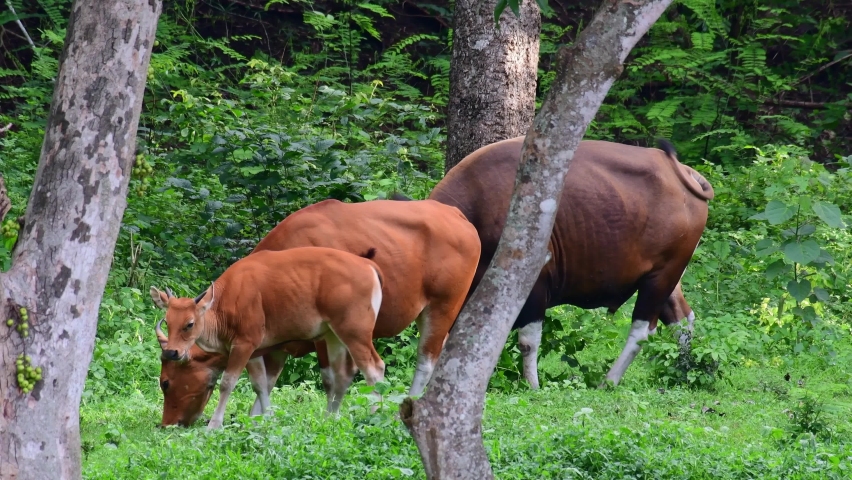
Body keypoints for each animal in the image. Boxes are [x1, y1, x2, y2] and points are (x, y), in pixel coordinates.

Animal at [151, 247, 387, 429]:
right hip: (332, 334)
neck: (225, 305)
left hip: (355, 332)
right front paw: (268, 419)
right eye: (168, 321)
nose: (172, 351)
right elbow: (261, 384)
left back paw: (376, 415)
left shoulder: (244, 343)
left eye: (189, 324)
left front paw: (214, 425)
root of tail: (369, 266)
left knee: (374, 369)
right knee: (342, 373)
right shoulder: (255, 349)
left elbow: (227, 383)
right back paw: (330, 418)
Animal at [412, 137, 714, 388]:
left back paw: (610, 381)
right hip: (666, 278)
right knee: (682, 319)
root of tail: (685, 173)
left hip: (661, 276)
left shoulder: (535, 285)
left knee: (642, 330)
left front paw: (532, 386)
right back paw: (684, 370)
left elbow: (528, 341)